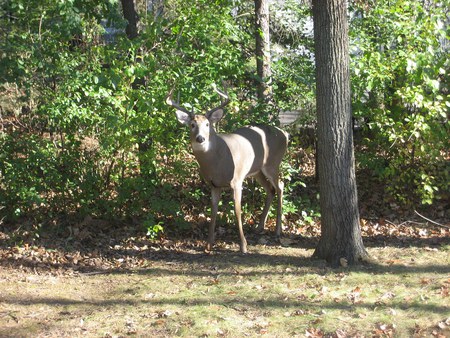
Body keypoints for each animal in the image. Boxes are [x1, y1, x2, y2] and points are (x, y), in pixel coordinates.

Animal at [167, 85, 290, 254]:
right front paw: (208, 245)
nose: (200, 138)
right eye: (192, 124)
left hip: (272, 163)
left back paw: (278, 231)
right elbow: (213, 211)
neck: (217, 163)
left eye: (207, 124)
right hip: (257, 171)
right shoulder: (213, 185)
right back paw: (259, 227)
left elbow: (237, 211)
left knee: (280, 186)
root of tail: (285, 134)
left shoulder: (237, 180)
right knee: (270, 190)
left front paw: (243, 246)